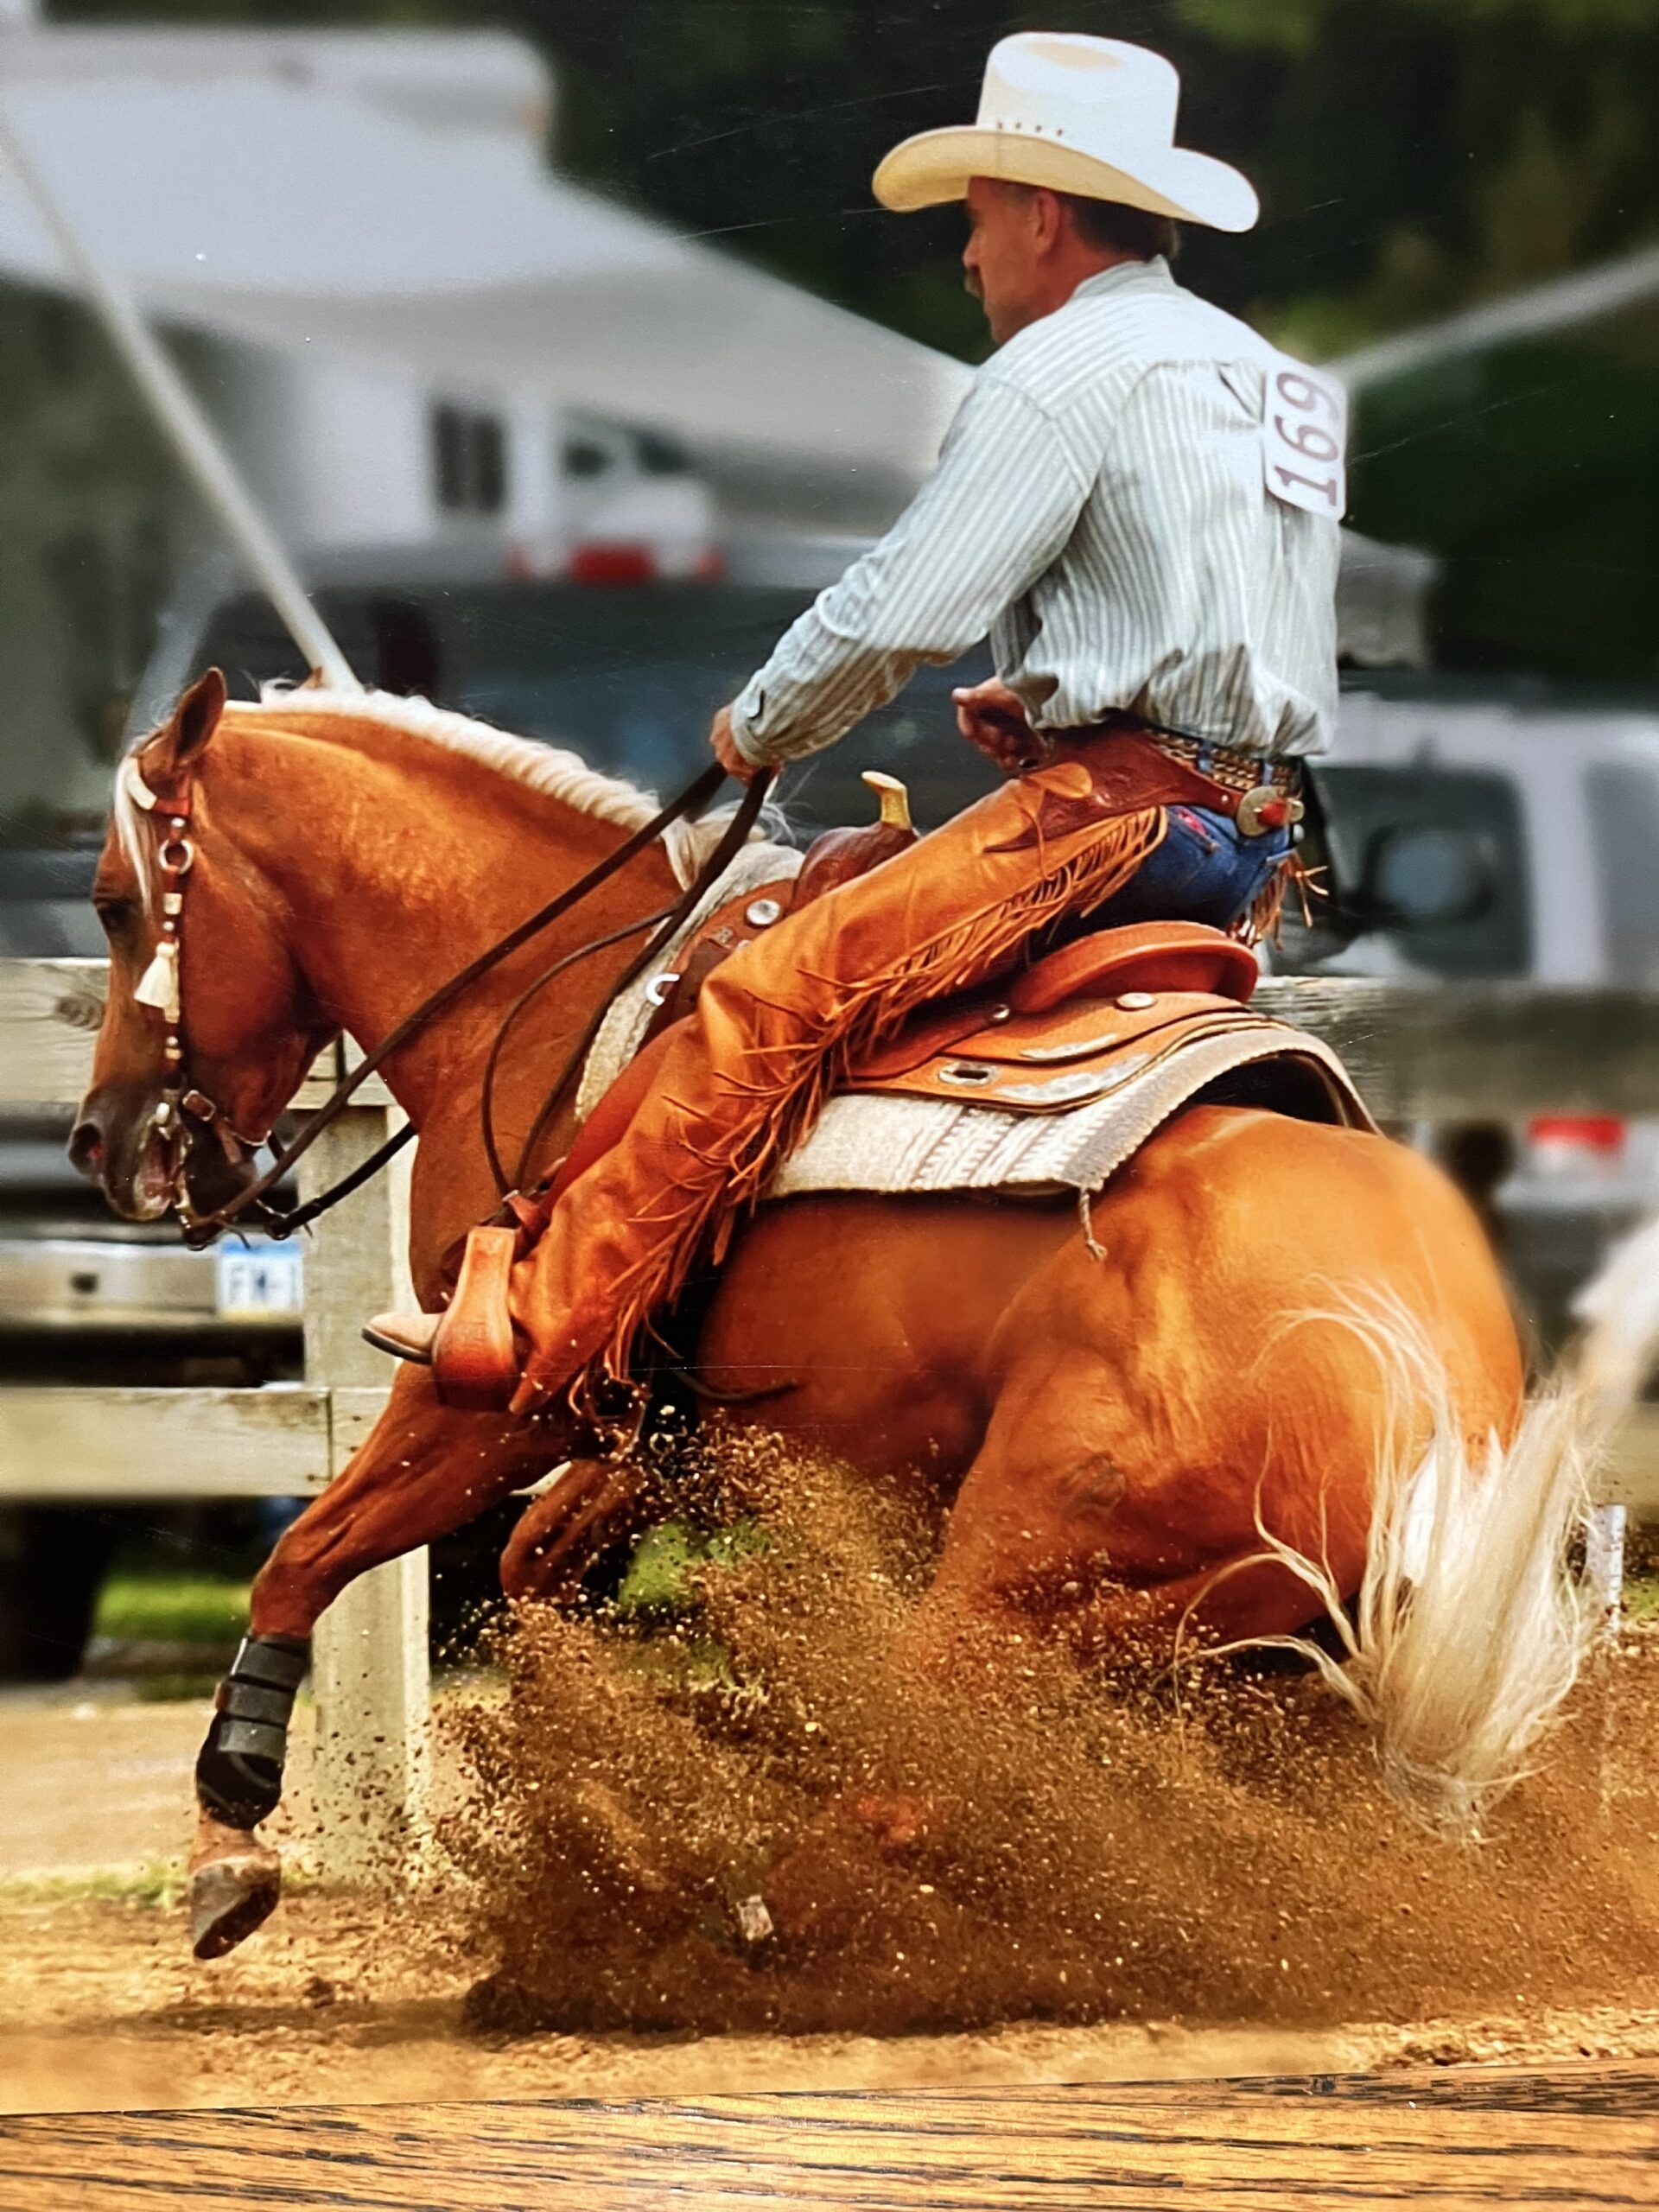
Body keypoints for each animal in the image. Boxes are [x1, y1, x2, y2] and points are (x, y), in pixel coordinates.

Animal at [75, 673, 1588, 1957]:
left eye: (111, 903)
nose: (106, 1140)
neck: (553, 993)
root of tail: (1435, 1405)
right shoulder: (662, 1434)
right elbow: (530, 1571)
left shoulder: (493, 1398)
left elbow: (309, 1553)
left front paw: (231, 1838)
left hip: (1013, 1577)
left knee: (909, 1788)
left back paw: (749, 1921)